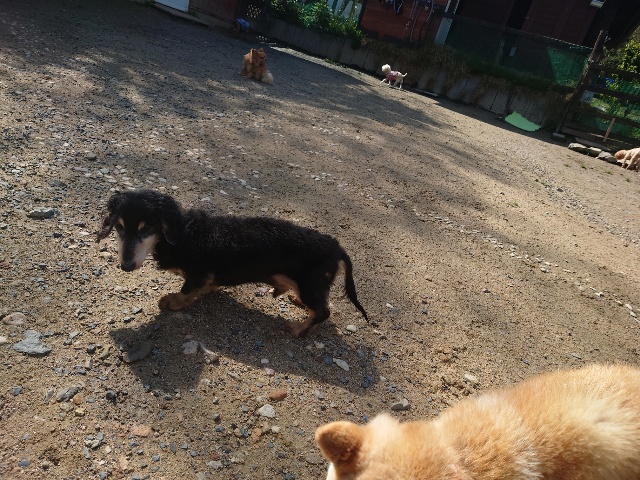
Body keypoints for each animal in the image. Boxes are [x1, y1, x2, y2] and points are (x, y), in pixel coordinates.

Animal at [97, 190, 367, 337]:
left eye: (146, 229)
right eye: (119, 227)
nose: (126, 266)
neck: (183, 233)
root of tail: (337, 247)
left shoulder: (197, 273)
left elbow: (186, 290)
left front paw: (173, 301)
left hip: (311, 283)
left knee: (323, 311)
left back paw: (298, 328)